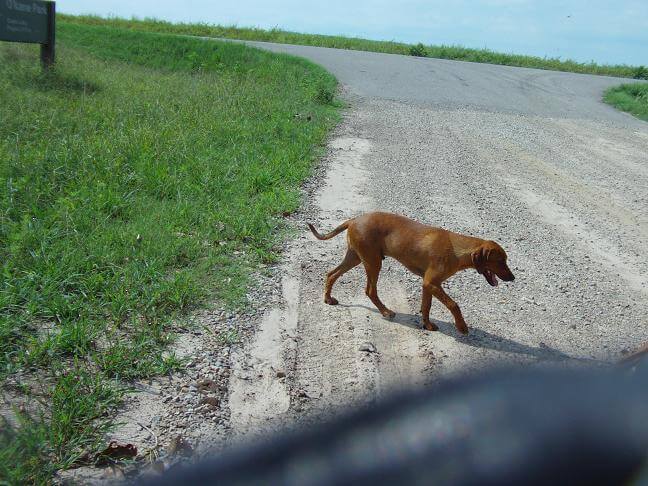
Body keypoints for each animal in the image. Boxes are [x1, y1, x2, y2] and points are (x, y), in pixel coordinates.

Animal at [306, 213, 512, 334]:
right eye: (500, 261)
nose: (513, 278)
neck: (456, 249)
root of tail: (353, 219)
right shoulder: (431, 283)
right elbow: (454, 305)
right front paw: (462, 327)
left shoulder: (428, 285)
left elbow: (426, 307)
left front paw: (427, 325)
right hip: (373, 262)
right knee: (370, 290)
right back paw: (386, 311)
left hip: (355, 257)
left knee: (331, 274)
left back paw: (328, 298)